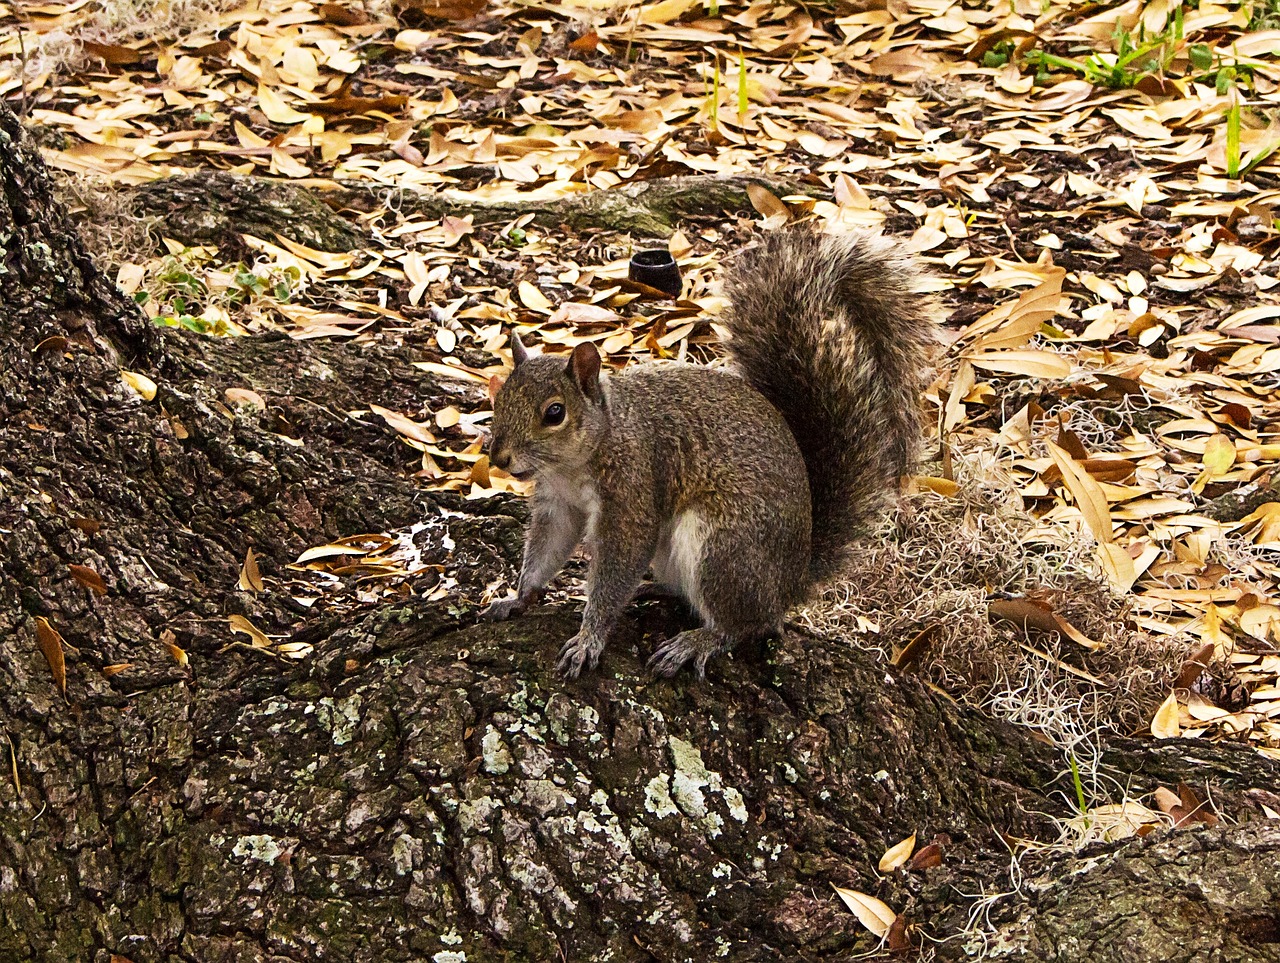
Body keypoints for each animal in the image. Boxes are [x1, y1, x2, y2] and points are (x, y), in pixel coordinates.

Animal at [481, 227, 942, 676]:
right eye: (499, 397)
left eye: (555, 412)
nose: (498, 458)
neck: (578, 460)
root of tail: (792, 583)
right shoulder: (558, 503)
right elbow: (548, 548)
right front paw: (517, 598)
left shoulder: (632, 490)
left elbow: (618, 564)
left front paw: (589, 638)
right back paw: (656, 588)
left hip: (723, 548)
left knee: (747, 624)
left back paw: (698, 641)